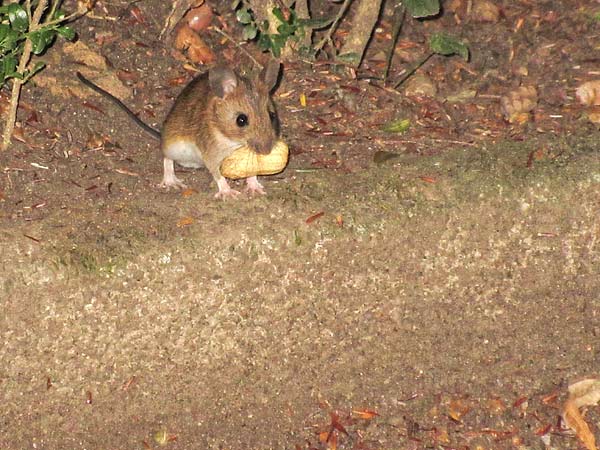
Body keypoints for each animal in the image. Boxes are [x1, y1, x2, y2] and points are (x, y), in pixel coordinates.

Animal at [77, 61, 281, 198]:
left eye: (272, 115)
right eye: (241, 120)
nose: (266, 151)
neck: (232, 141)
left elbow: (251, 171)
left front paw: (255, 187)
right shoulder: (211, 152)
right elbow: (217, 175)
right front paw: (228, 192)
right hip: (173, 146)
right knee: (166, 159)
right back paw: (171, 181)